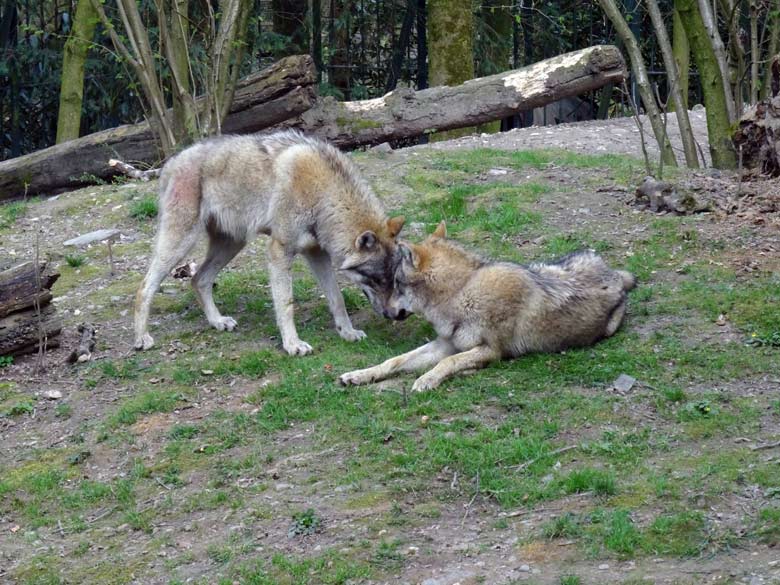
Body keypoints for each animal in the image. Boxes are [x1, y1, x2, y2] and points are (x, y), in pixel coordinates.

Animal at [135, 130, 406, 354]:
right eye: (375, 279)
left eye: (393, 279)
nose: (399, 314)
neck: (323, 194)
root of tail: (170, 163)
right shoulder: (279, 251)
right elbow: (286, 304)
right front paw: (293, 345)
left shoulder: (316, 253)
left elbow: (337, 299)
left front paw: (347, 333)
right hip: (180, 243)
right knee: (145, 287)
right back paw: (141, 338)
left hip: (232, 244)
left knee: (198, 279)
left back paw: (218, 322)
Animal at [340, 221, 632, 390]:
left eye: (396, 283)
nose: (385, 312)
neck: (461, 292)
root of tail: (617, 274)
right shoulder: (445, 343)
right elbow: (395, 360)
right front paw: (360, 375)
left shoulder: (490, 350)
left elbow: (448, 363)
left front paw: (426, 380)